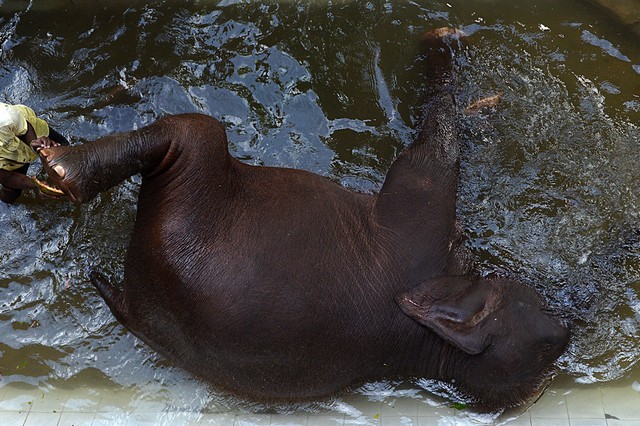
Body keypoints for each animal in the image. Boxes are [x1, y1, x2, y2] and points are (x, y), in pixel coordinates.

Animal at [35, 28, 568, 412]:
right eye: (545, 312)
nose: (563, 314)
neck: (431, 354)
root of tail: (132, 298)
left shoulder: (421, 223)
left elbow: (434, 156)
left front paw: (441, 41)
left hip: (190, 185)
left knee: (192, 133)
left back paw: (61, 167)